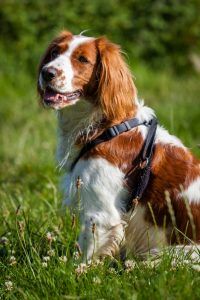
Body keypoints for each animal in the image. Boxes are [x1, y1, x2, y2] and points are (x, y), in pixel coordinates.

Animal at [37, 29, 200, 262]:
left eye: (83, 59)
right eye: (54, 53)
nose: (46, 72)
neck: (105, 127)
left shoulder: (100, 212)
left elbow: (86, 254)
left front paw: (75, 269)